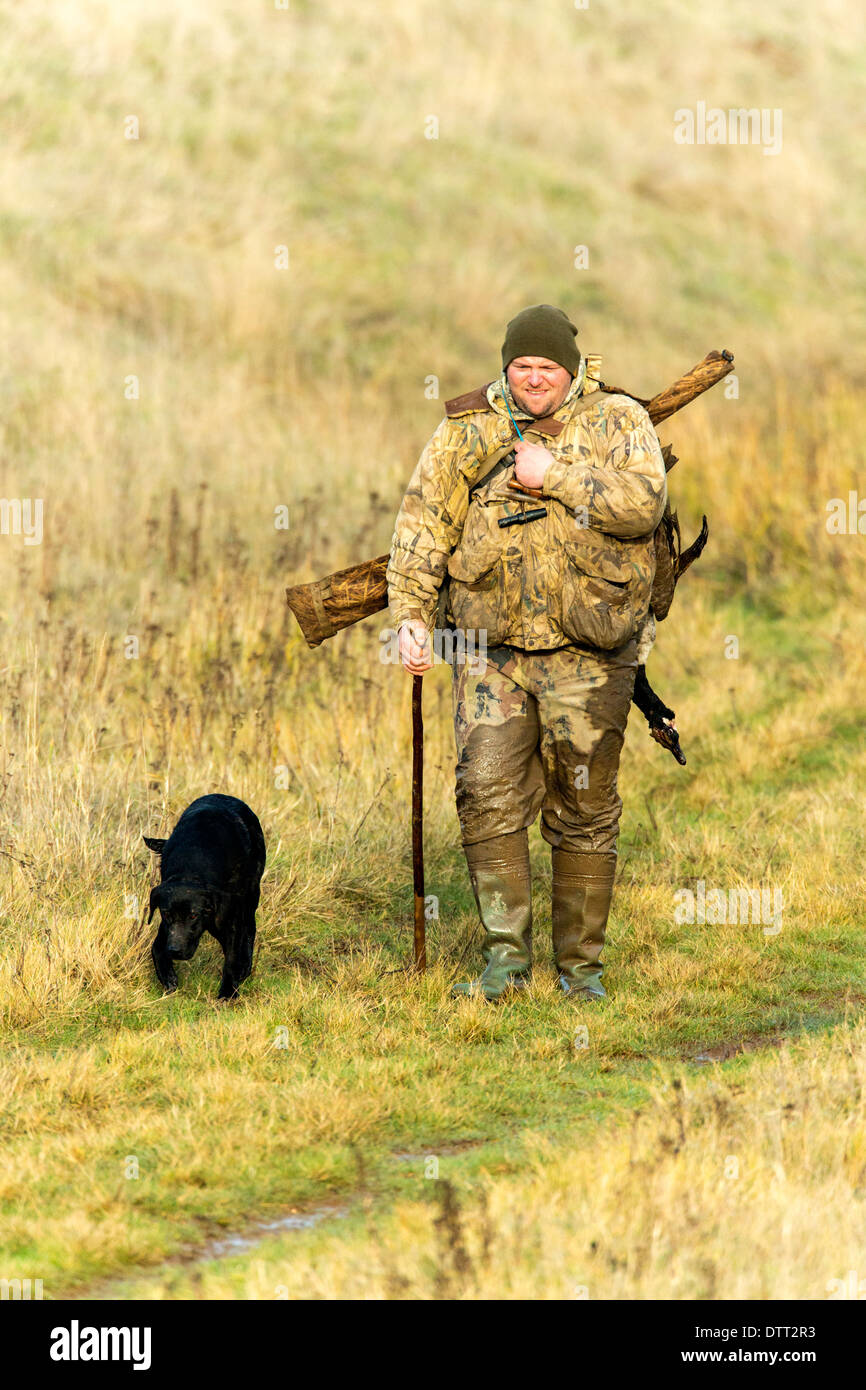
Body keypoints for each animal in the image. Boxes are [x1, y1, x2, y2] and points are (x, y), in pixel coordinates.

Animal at [143, 795, 265, 1000]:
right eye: (167, 914)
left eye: (193, 915)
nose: (175, 951)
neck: (190, 869)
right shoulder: (167, 926)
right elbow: (156, 948)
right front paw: (168, 978)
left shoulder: (231, 919)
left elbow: (232, 958)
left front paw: (228, 992)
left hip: (250, 895)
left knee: (249, 929)